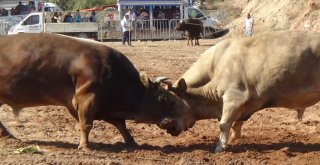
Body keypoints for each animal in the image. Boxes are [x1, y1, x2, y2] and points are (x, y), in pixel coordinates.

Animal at [166, 30, 320, 152]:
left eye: (172, 102)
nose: (169, 128)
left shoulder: (233, 98)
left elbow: (224, 124)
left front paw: (220, 146)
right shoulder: (249, 104)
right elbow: (236, 125)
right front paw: (232, 139)